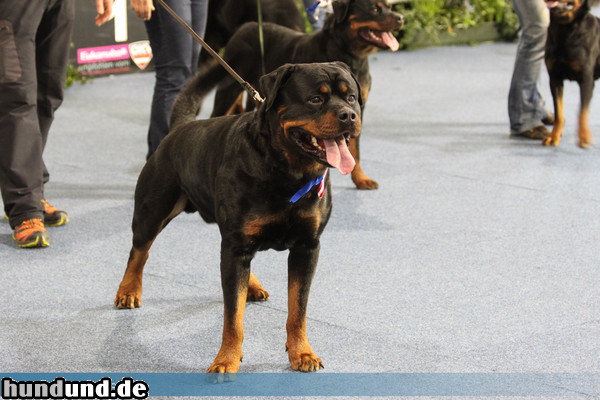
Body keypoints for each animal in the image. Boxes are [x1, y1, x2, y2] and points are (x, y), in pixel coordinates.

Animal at [115, 62, 364, 376]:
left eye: (351, 97)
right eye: (315, 99)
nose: (349, 115)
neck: (287, 171)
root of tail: (180, 128)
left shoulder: (307, 247)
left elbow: (298, 308)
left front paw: (302, 352)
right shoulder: (236, 246)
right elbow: (233, 317)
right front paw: (226, 360)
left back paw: (252, 286)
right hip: (154, 207)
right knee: (139, 250)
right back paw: (128, 290)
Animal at [173, 0, 408, 191]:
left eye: (389, 6)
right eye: (374, 9)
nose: (400, 18)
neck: (352, 54)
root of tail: (245, 27)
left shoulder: (360, 109)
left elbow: (354, 150)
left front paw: (360, 178)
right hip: (229, 87)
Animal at [544, 0, 600, 148]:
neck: (565, 29)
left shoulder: (587, 80)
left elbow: (582, 112)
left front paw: (584, 137)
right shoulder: (555, 79)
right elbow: (558, 113)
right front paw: (553, 136)